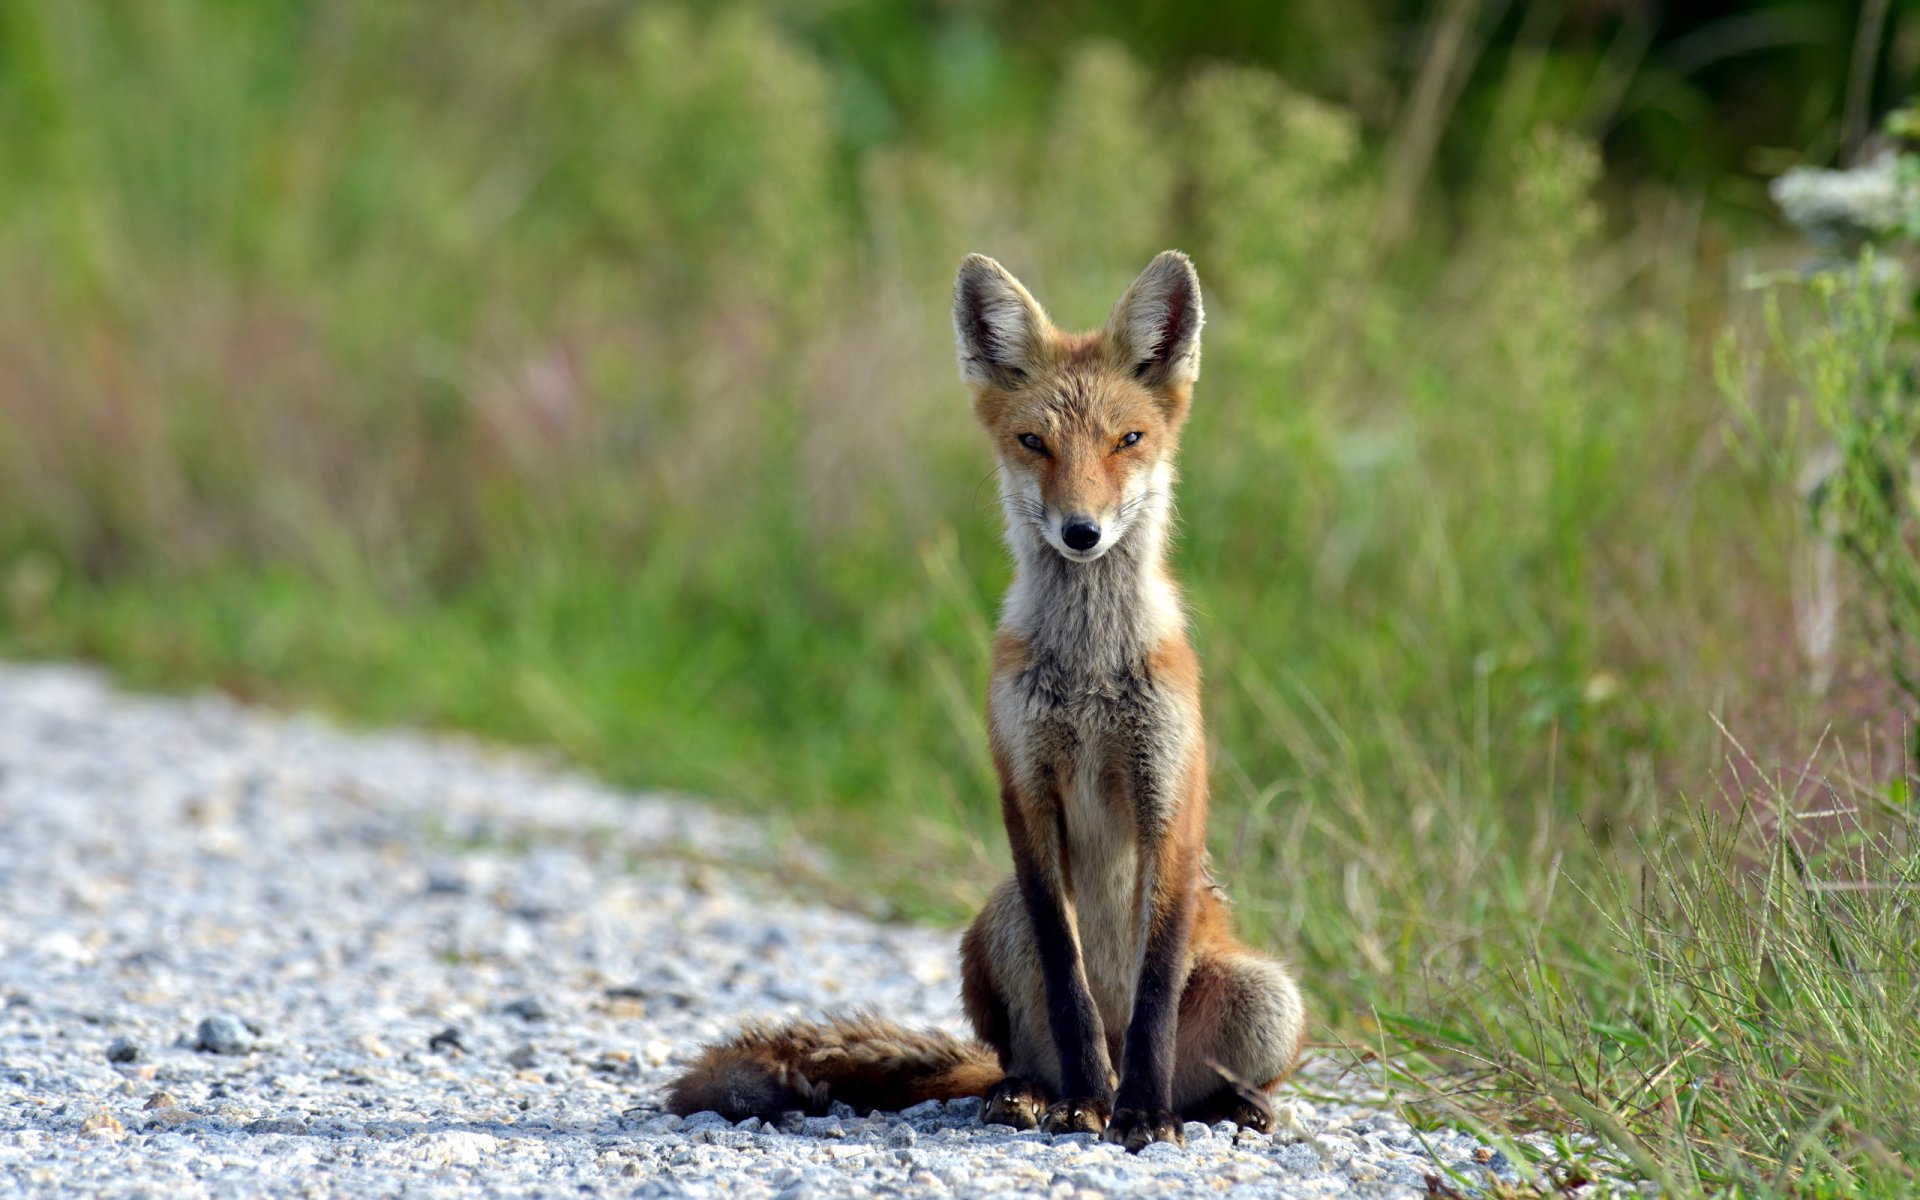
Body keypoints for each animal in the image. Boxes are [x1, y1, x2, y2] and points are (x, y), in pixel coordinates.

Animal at [665, 251, 1306, 1150]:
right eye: (1034, 442)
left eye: (1129, 440)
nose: (1081, 532)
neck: (1089, 674)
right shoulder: (1025, 790)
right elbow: (1069, 978)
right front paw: (1087, 1105)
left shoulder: (1167, 797)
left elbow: (1152, 994)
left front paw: (1140, 1117)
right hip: (992, 925)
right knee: (1019, 1054)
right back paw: (1037, 1094)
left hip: (1268, 996)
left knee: (1208, 1077)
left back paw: (1218, 1105)